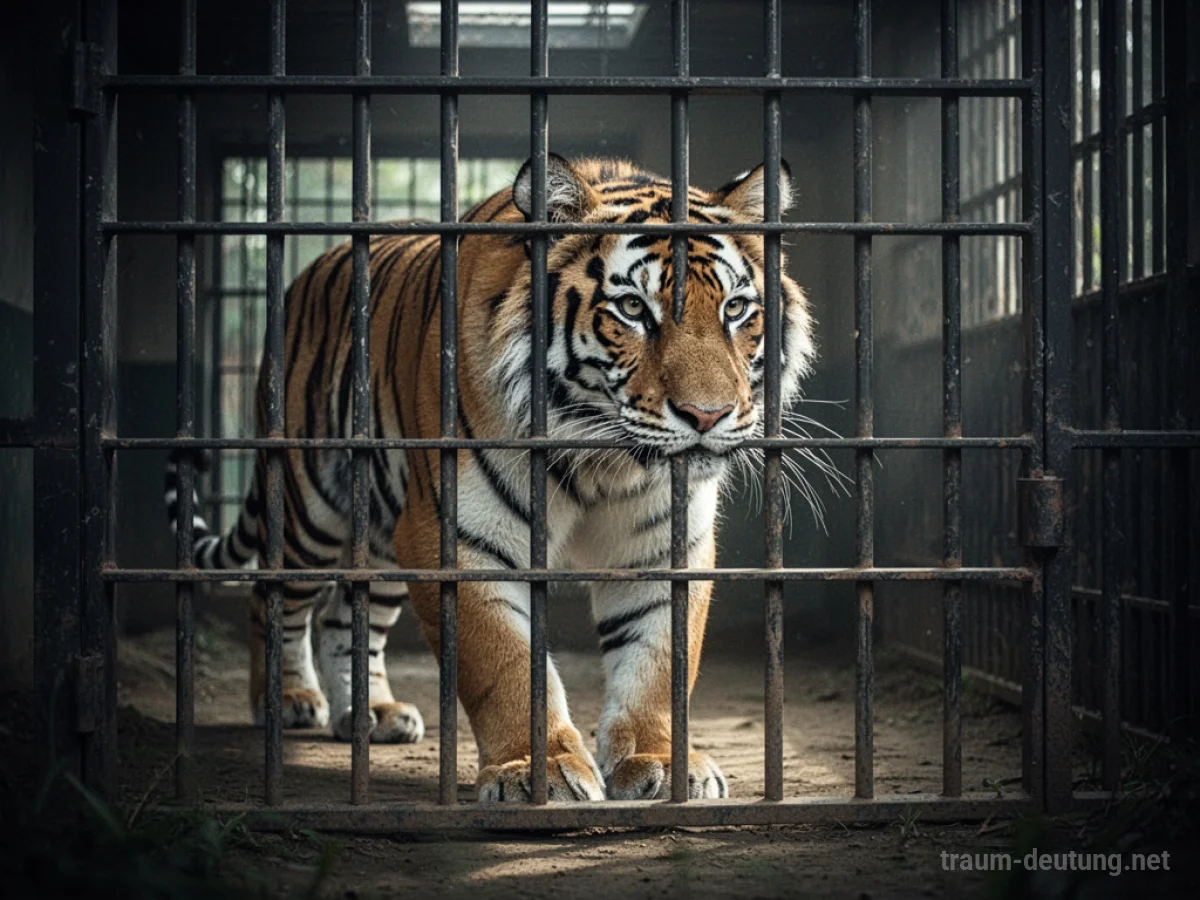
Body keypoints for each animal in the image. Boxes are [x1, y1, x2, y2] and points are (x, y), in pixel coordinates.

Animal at [165, 155, 816, 801]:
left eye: (735, 309)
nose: (708, 416)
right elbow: (504, 663)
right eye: (632, 309)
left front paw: (659, 762)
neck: (605, 459)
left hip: (385, 537)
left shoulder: (660, 546)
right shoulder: (458, 538)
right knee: (272, 595)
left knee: (343, 616)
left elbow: (658, 661)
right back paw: (287, 699)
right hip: (311, 510)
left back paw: (372, 713)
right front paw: (537, 771)